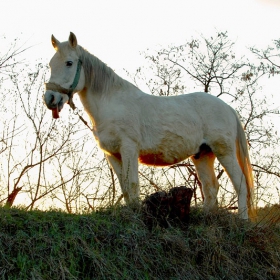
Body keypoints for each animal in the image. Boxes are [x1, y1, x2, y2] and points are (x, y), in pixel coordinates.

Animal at [43, 31, 254, 219]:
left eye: (69, 63)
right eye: (51, 64)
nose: (50, 98)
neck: (111, 103)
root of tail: (228, 108)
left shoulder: (129, 148)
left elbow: (132, 184)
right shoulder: (112, 154)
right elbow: (125, 187)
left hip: (224, 151)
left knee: (240, 184)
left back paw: (242, 221)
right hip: (203, 154)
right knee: (211, 187)